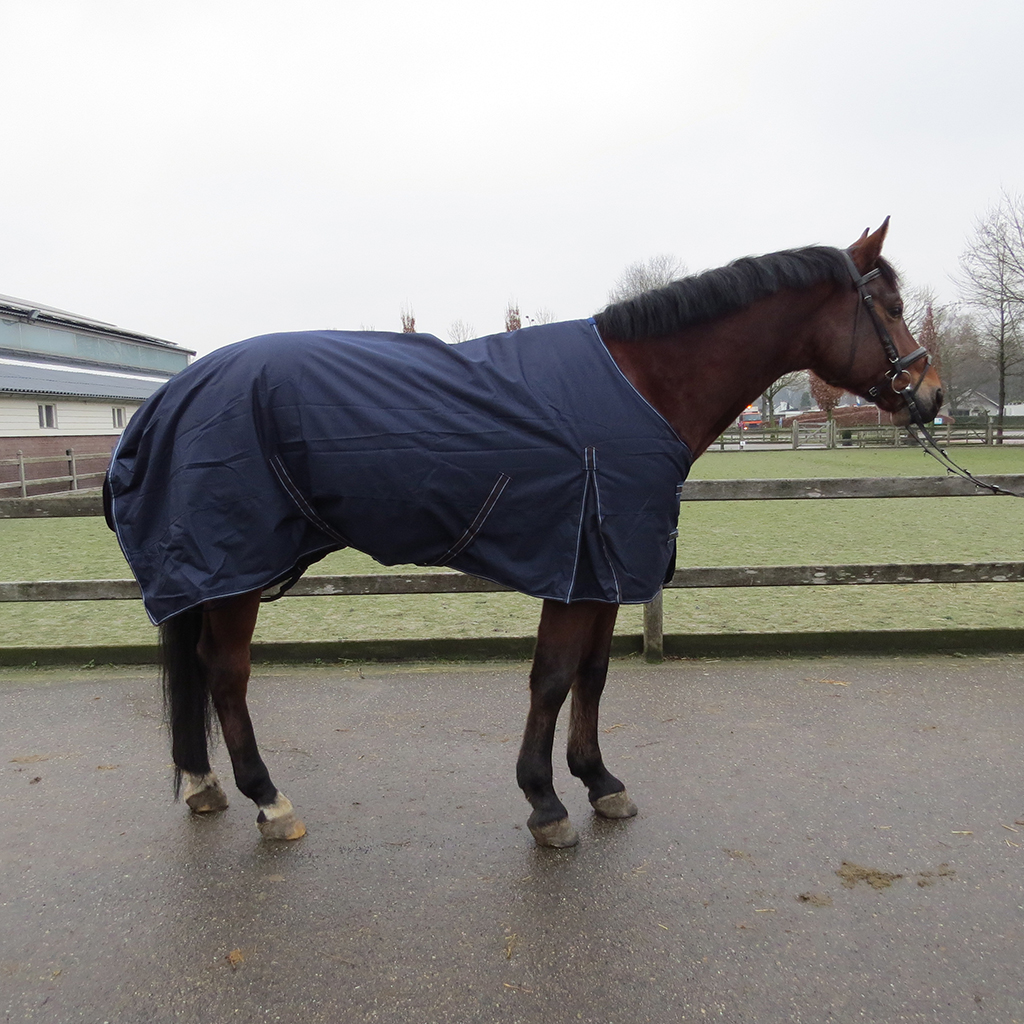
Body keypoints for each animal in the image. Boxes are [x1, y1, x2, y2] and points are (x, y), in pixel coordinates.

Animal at [105, 222, 942, 847]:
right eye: (889, 304)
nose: (930, 395)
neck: (640, 385)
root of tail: (173, 392)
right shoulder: (574, 564)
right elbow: (551, 676)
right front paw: (544, 802)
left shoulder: (604, 570)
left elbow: (593, 676)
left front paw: (599, 781)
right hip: (232, 568)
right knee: (225, 675)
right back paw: (268, 800)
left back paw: (204, 784)